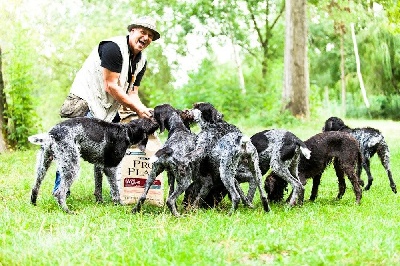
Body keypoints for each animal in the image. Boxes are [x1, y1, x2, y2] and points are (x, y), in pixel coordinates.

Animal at [28, 117, 158, 213]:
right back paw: (67, 211)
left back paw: (33, 204)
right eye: (150, 120)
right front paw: (118, 204)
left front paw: (100, 203)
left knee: (35, 187)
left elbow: (98, 189)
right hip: (71, 166)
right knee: (59, 193)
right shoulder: (110, 168)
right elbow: (115, 190)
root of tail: (52, 134)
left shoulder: (99, 167)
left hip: (43, 165)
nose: (157, 122)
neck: (126, 132)